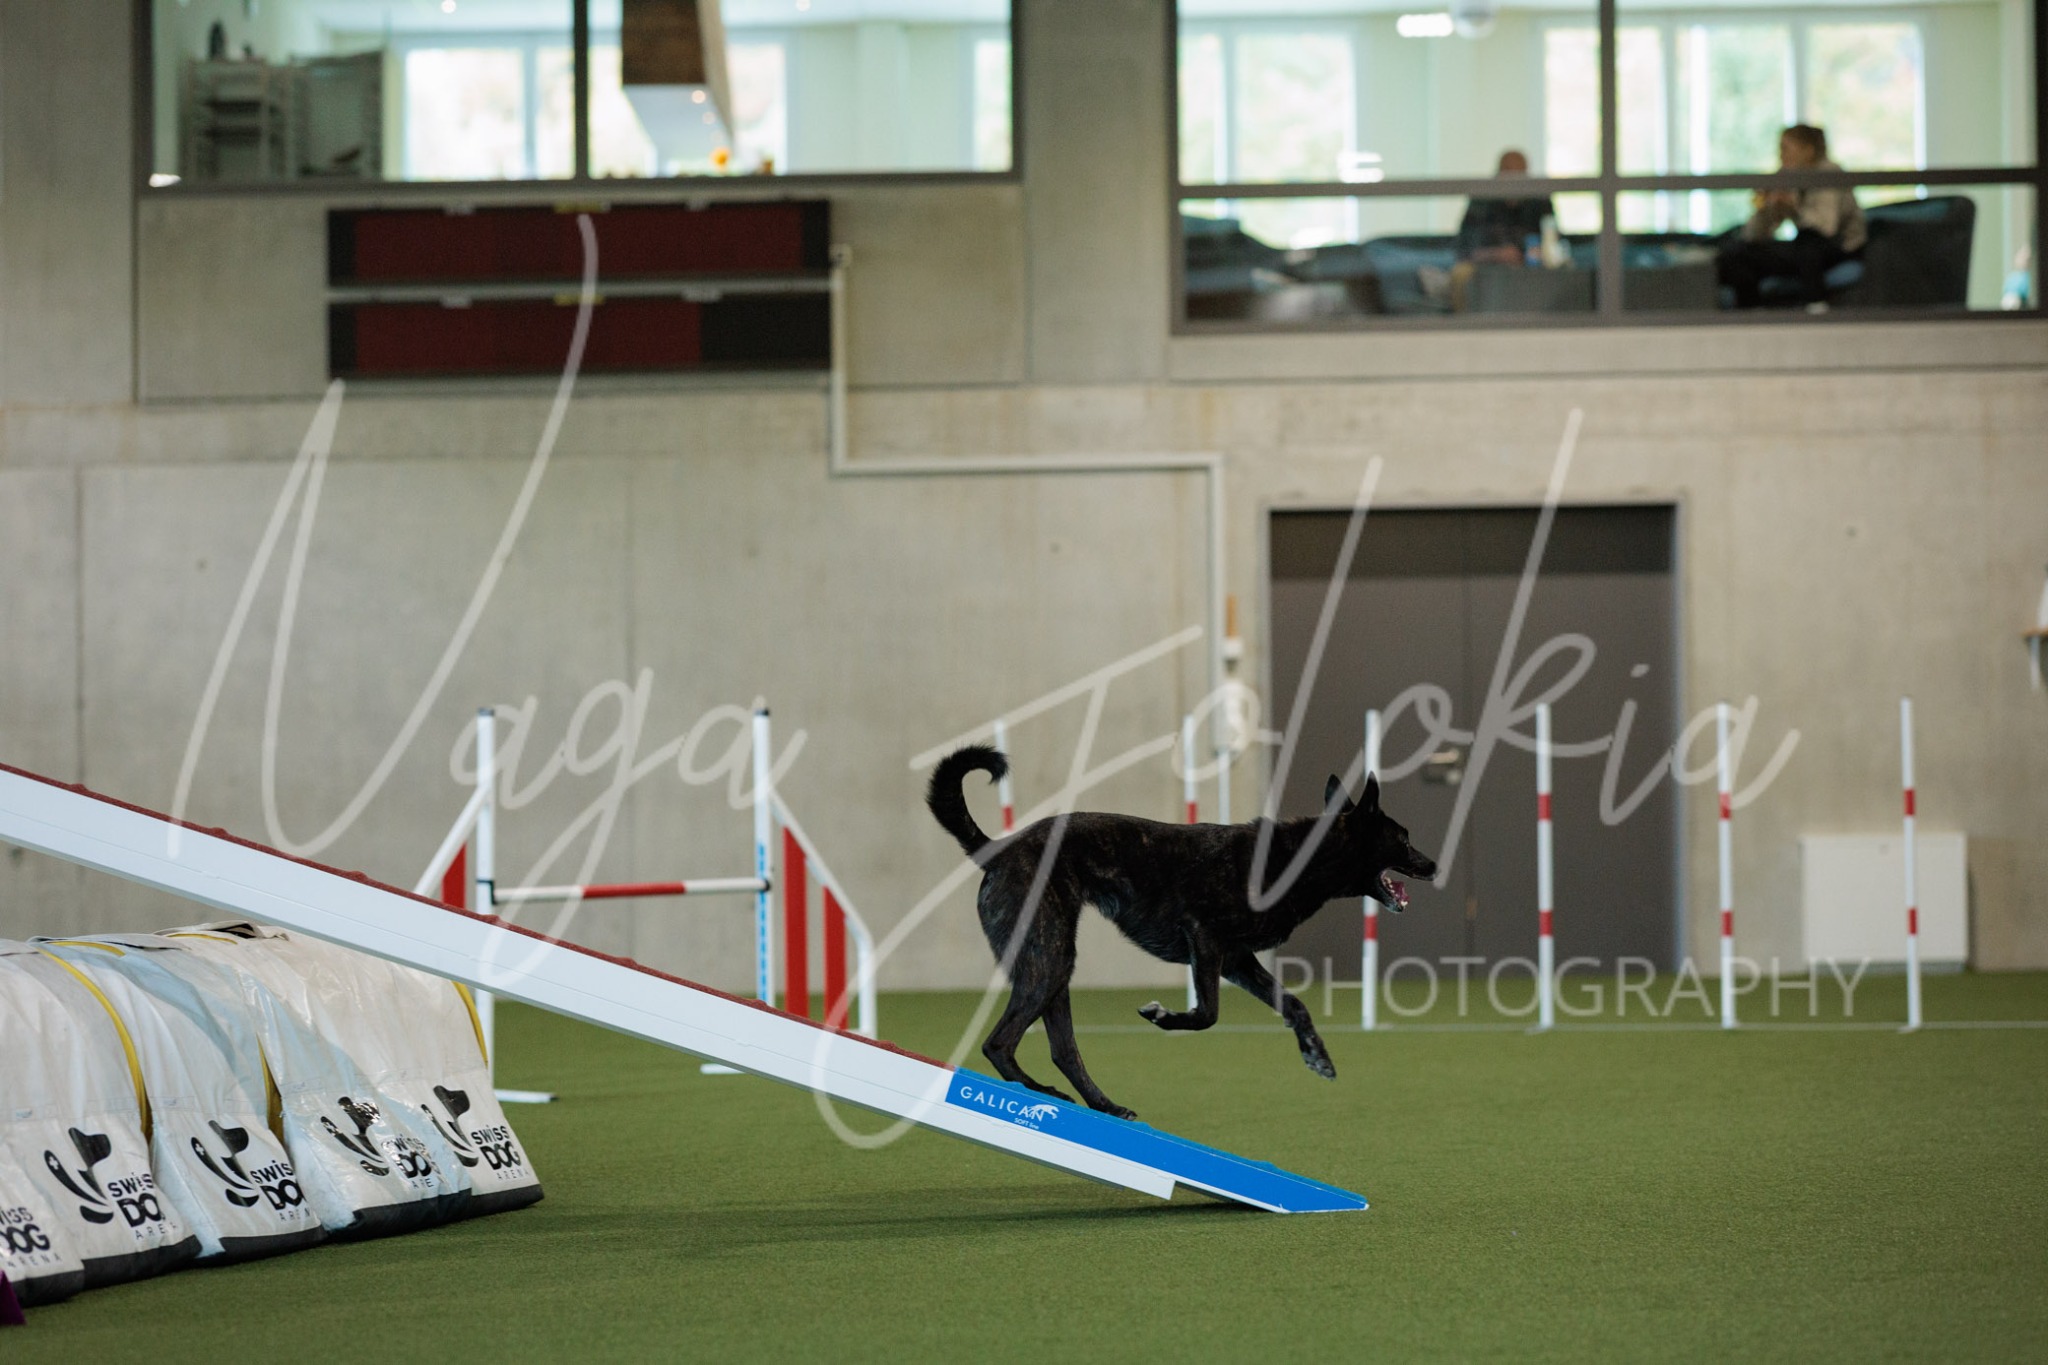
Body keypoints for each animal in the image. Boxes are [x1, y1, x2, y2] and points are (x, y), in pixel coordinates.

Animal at [927, 745, 1438, 1119]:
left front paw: (1317, 1056)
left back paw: (1103, 1105)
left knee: (1063, 1049)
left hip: (1053, 966)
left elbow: (1294, 1004)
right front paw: (1163, 1017)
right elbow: (1207, 1013)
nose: (1433, 866)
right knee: (999, 1043)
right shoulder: (1204, 942)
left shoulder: (1237, 960)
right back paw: (1042, 1093)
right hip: (1049, 960)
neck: (1297, 860)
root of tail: (997, 851)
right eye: (1404, 838)